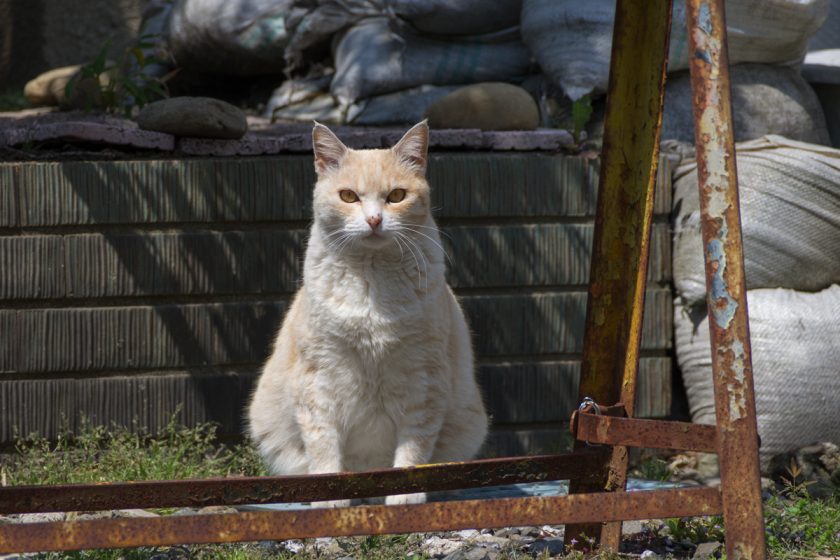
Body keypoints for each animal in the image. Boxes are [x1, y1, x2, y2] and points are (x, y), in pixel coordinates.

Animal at [246, 120, 488, 506]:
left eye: (396, 196)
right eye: (348, 197)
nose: (375, 220)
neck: (371, 285)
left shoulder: (424, 379)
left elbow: (414, 443)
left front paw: (404, 496)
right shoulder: (320, 378)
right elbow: (323, 443)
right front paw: (330, 497)